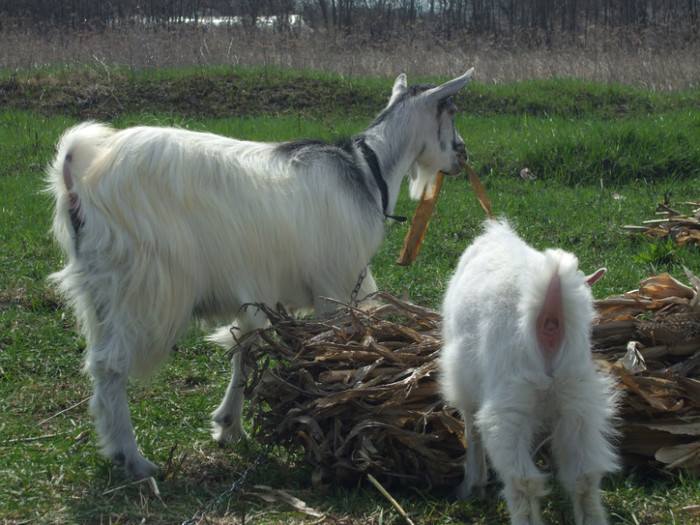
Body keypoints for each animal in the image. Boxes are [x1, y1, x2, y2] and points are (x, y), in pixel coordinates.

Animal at [47, 68, 476, 478]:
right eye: (451, 111)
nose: (462, 155)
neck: (367, 172)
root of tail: (80, 176)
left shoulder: (258, 290)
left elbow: (246, 348)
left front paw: (228, 426)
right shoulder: (334, 288)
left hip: (101, 291)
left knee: (97, 362)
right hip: (144, 287)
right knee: (111, 364)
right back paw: (133, 460)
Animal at [440, 220, 620, 524]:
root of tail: (550, 317)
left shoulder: (464, 380)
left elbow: (471, 429)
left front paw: (472, 487)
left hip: (511, 402)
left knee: (522, 480)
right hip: (579, 398)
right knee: (584, 476)